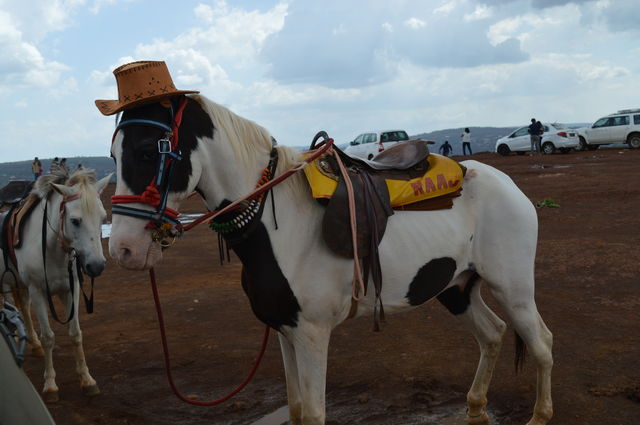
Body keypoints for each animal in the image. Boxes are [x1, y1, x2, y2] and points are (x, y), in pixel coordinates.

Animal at [1, 168, 112, 402]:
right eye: (75, 220)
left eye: (103, 218)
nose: (97, 266)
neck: (51, 249)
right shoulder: (38, 292)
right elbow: (49, 337)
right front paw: (51, 385)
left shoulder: (71, 290)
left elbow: (75, 334)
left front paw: (87, 380)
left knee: (23, 308)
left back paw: (33, 345)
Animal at [107, 94, 553, 425]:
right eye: (112, 155)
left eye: (147, 151)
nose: (124, 249)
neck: (280, 223)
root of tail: (505, 182)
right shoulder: (285, 330)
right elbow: (297, 409)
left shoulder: (312, 334)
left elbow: (314, 413)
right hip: (457, 287)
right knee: (493, 334)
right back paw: (475, 409)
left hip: (512, 288)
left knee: (542, 343)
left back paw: (539, 415)